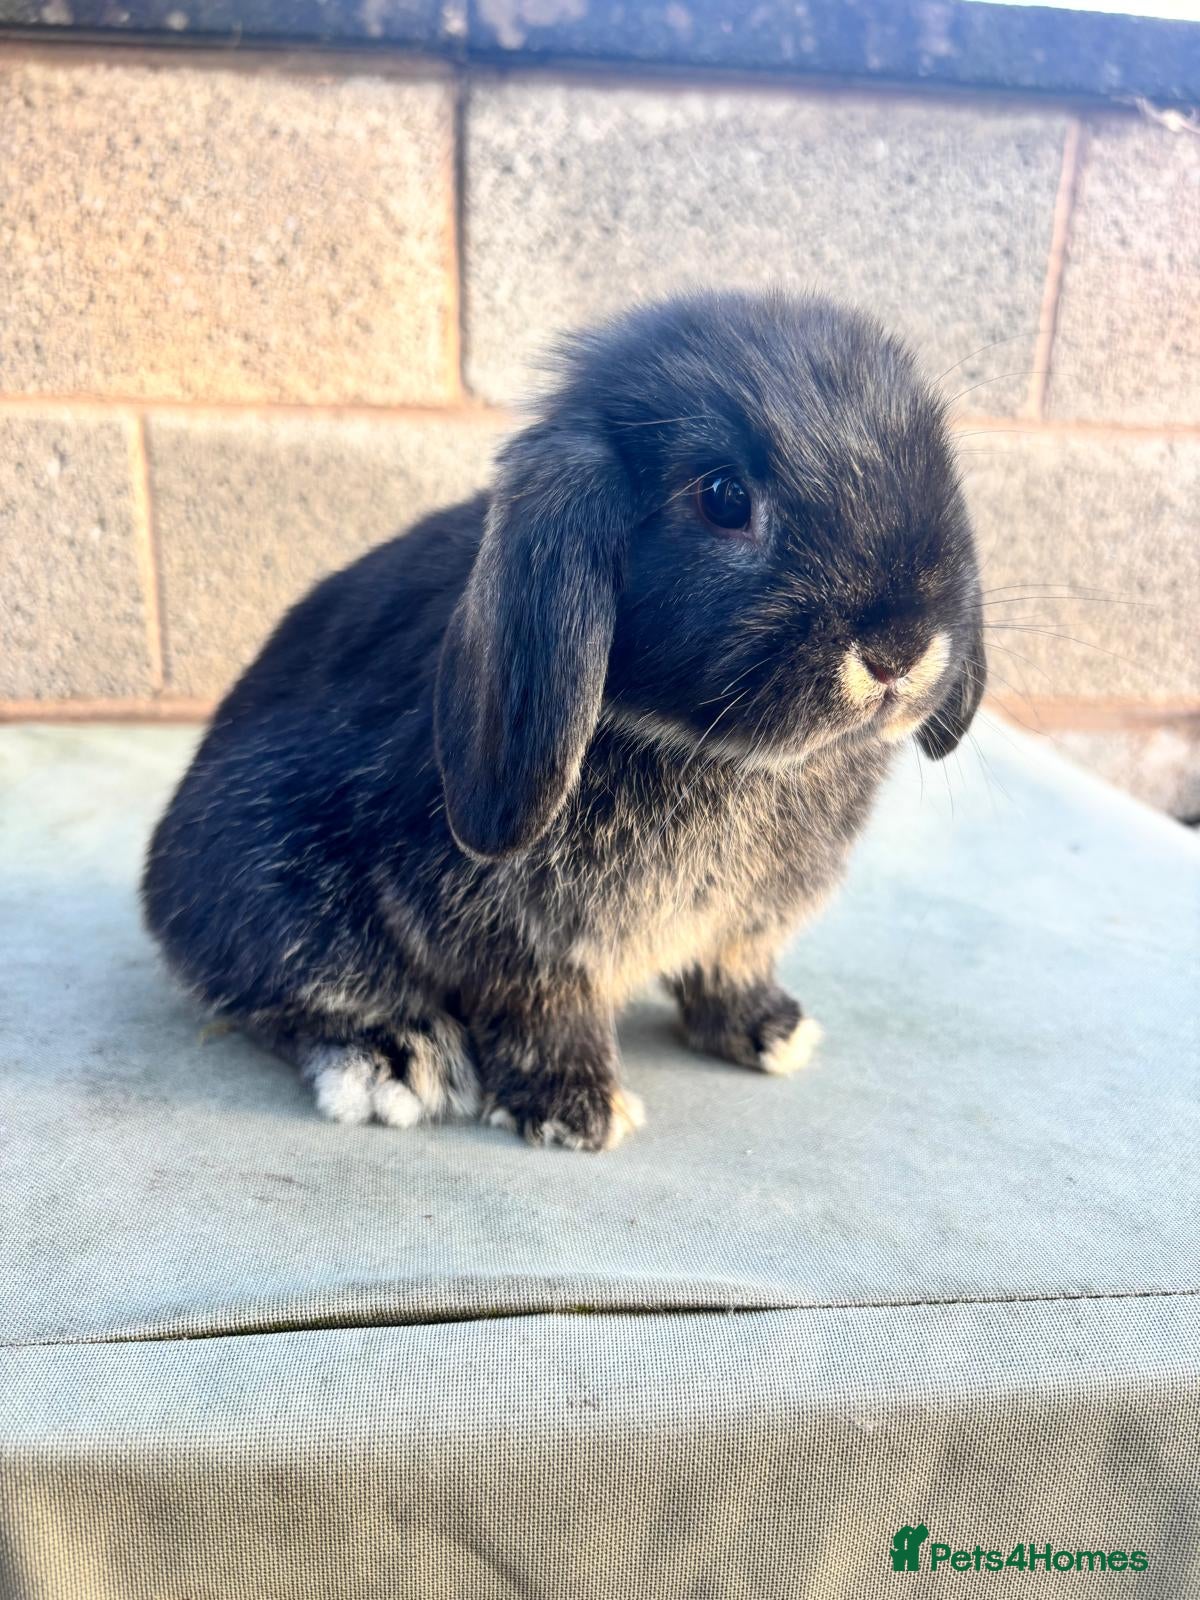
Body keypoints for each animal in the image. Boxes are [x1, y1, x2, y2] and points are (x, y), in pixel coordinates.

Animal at [142, 289, 986, 1151]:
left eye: (935, 463)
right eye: (723, 498)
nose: (900, 649)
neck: (717, 753)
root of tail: (161, 885)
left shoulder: (741, 929)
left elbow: (730, 969)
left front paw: (769, 1031)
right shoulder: (522, 944)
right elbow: (542, 1011)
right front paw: (576, 1109)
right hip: (265, 873)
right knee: (284, 991)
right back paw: (394, 1059)